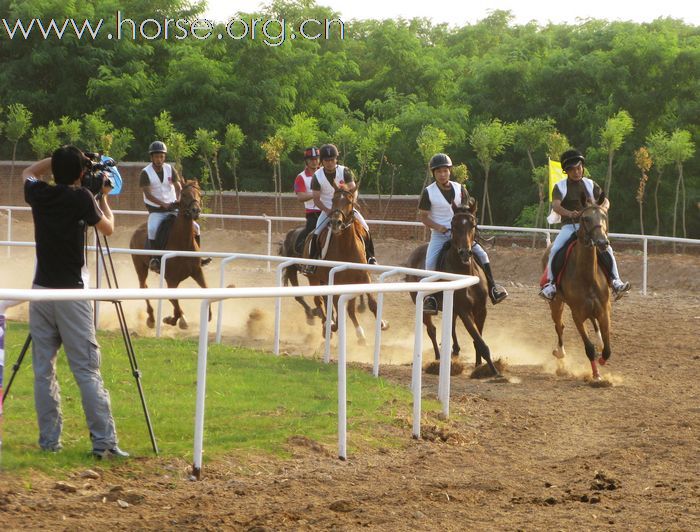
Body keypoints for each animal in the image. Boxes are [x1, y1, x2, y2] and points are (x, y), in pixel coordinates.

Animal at [129, 180, 208, 328]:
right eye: (184, 195)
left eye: (200, 194)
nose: (196, 211)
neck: (183, 244)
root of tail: (136, 231)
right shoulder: (171, 280)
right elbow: (173, 300)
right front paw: (177, 319)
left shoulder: (197, 272)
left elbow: (205, 288)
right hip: (140, 266)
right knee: (143, 286)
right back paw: (151, 318)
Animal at [302, 187, 386, 344]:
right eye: (333, 200)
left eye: (349, 201)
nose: (336, 222)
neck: (347, 247)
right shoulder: (336, 282)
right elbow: (336, 305)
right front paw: (333, 326)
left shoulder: (364, 277)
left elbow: (372, 303)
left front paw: (382, 323)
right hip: (314, 279)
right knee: (320, 301)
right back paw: (328, 327)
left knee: (348, 309)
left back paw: (359, 334)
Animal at [402, 202, 500, 376]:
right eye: (453, 225)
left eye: (472, 224)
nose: (465, 252)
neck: (465, 272)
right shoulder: (465, 311)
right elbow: (480, 341)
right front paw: (494, 372)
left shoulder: (481, 309)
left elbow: (478, 339)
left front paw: (479, 365)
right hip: (423, 306)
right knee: (432, 330)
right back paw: (438, 358)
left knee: (451, 328)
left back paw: (454, 351)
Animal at [540, 197, 612, 380]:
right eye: (585, 218)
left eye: (604, 216)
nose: (602, 242)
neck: (587, 276)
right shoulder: (577, 315)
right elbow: (589, 348)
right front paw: (596, 375)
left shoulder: (604, 310)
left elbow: (607, 349)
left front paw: (602, 358)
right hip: (556, 303)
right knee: (559, 326)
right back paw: (560, 353)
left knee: (593, 322)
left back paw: (599, 340)